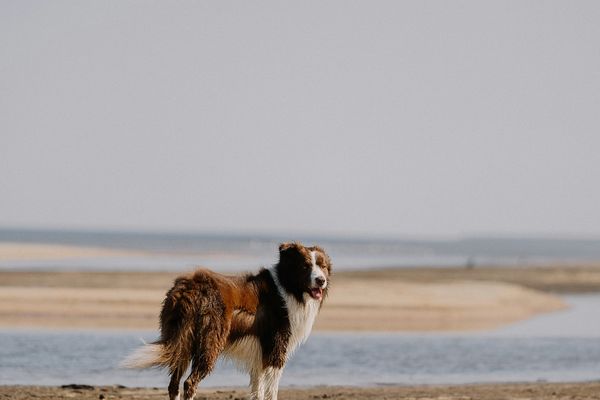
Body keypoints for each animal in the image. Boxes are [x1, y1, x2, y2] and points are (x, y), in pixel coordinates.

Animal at [125, 242, 332, 400]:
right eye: (305, 266)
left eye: (322, 266)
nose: (321, 281)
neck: (288, 286)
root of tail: (191, 287)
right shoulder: (276, 350)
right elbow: (271, 390)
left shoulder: (259, 357)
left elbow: (258, 390)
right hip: (210, 344)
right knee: (189, 383)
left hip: (182, 342)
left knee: (173, 384)